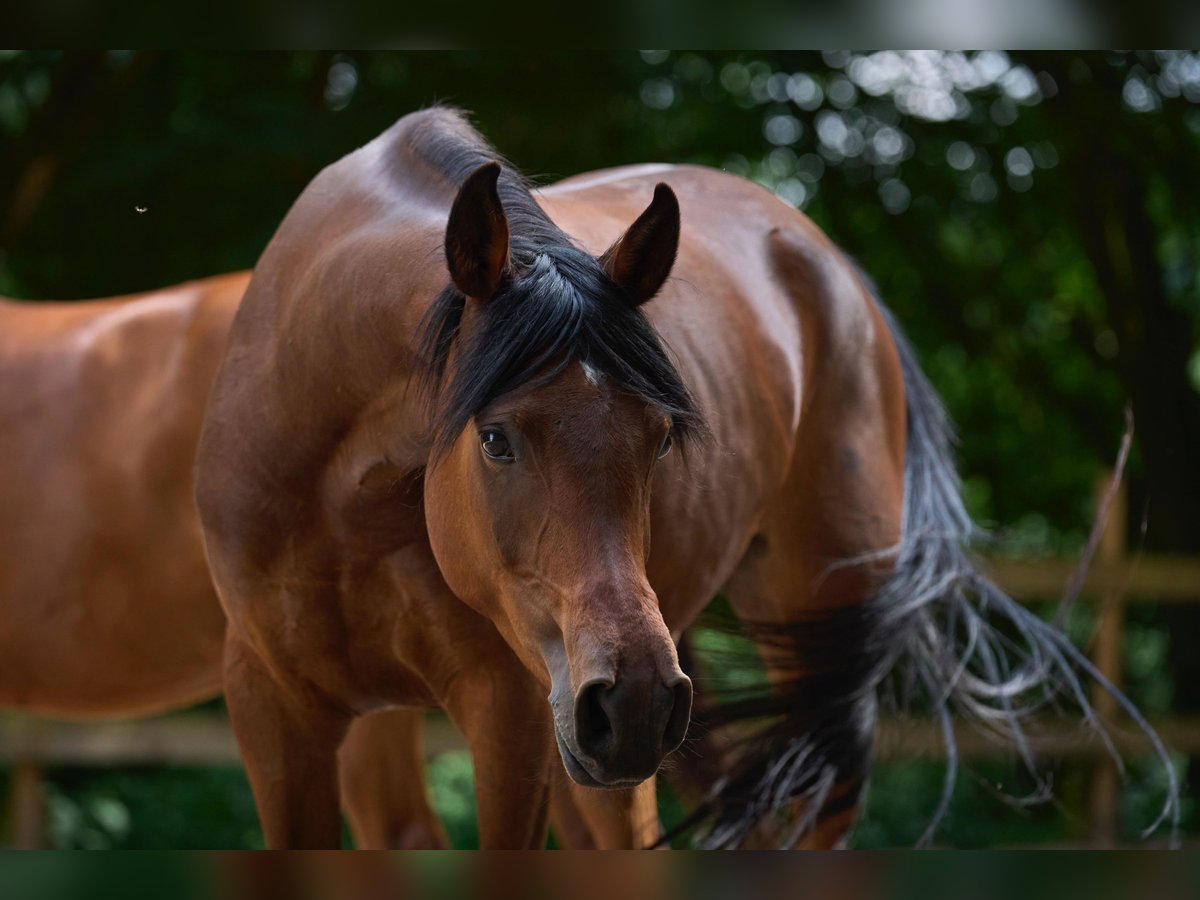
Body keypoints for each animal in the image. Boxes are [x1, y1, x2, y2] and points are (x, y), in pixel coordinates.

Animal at [196, 107, 1180, 854]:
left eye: (663, 436)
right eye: (497, 439)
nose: (632, 701)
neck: (341, 491)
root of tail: (837, 270)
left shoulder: (512, 711)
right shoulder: (276, 710)